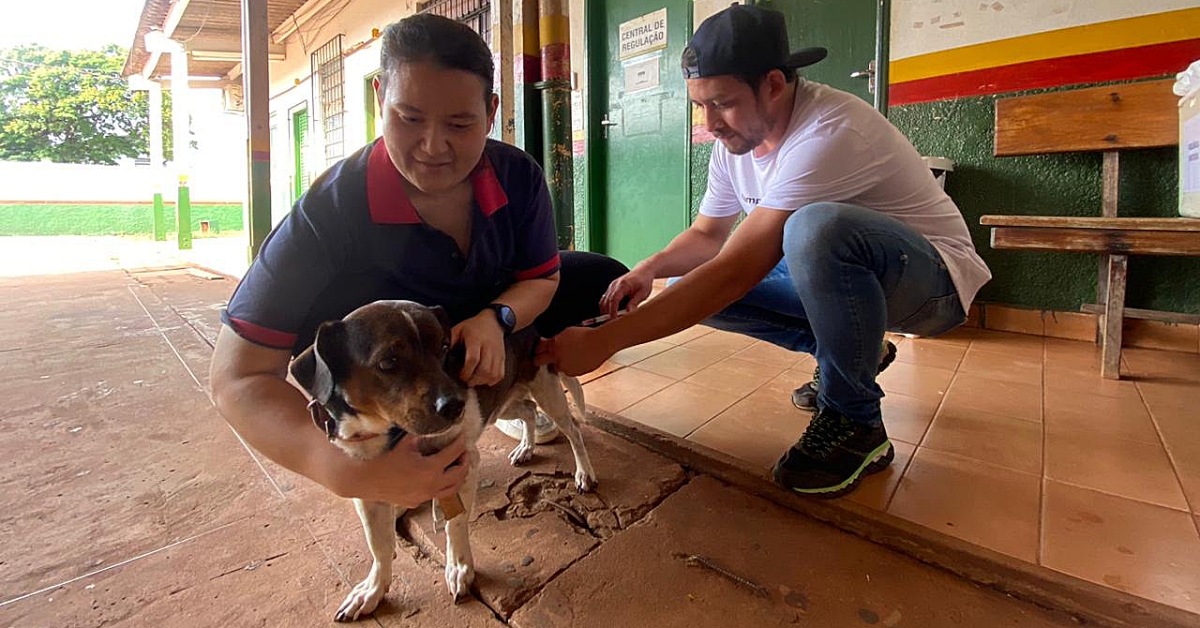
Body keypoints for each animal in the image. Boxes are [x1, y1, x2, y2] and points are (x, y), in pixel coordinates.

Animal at [285, 301, 595, 624]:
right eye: (388, 361)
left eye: (444, 346)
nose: (456, 405)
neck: (392, 434)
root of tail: (532, 327)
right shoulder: (366, 487)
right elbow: (379, 545)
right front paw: (372, 590)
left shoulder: (462, 465)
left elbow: (454, 524)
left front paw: (459, 568)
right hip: (501, 403)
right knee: (528, 411)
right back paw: (526, 447)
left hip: (547, 390)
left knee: (572, 429)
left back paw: (584, 473)